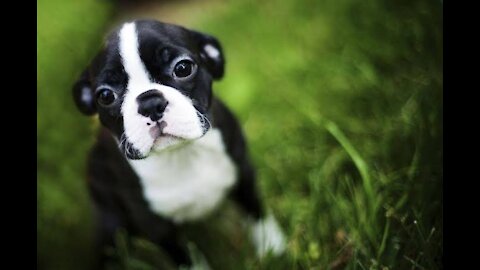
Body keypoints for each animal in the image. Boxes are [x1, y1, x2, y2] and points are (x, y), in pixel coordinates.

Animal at [72, 19, 284, 268]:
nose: (150, 103)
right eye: (105, 96)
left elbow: (256, 212)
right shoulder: (159, 229)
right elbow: (186, 259)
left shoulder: (243, 173)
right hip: (110, 225)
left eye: (183, 68)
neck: (182, 154)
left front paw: (274, 248)